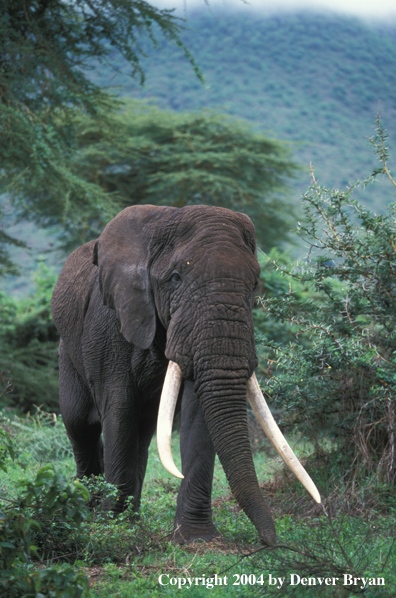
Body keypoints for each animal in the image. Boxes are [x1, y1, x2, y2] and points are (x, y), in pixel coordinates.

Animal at [51, 204, 320, 548]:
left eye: (255, 284)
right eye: (175, 278)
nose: (269, 541)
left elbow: (198, 411)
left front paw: (195, 537)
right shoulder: (108, 325)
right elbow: (119, 407)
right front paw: (111, 529)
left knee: (141, 431)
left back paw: (130, 518)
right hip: (67, 349)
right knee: (80, 422)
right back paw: (91, 511)